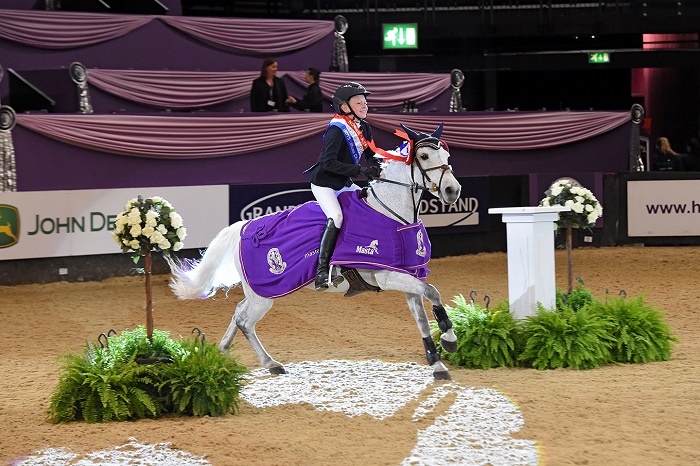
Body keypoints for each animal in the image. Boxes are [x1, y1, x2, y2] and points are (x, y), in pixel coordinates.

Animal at [169, 123, 462, 378]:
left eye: (447, 155)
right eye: (423, 156)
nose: (452, 191)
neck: (391, 214)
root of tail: (243, 228)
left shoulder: (408, 276)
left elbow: (423, 314)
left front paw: (437, 363)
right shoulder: (387, 276)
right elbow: (433, 293)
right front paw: (449, 339)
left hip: (257, 293)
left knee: (238, 312)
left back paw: (223, 353)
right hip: (263, 293)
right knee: (245, 320)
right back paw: (269, 363)